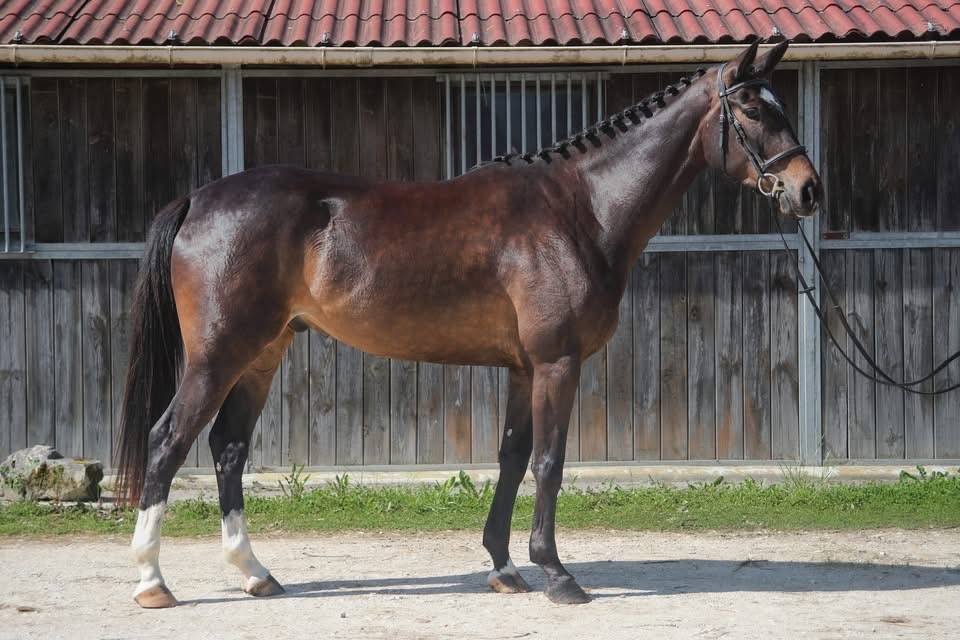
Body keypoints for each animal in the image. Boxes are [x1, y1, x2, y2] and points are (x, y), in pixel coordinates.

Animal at [115, 40, 821, 608]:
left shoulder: (523, 368)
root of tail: (199, 198)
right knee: (167, 442)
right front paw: (557, 574)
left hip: (262, 355)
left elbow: (511, 458)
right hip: (216, 357)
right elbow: (549, 462)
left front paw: (506, 567)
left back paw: (255, 573)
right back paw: (152, 582)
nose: (808, 190)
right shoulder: (558, 363)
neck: (579, 209)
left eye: (779, 104)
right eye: (752, 109)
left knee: (228, 450)